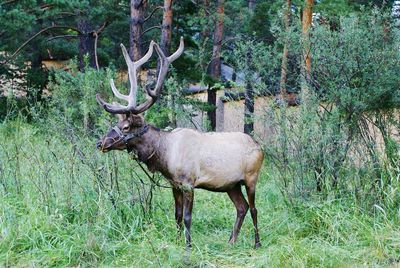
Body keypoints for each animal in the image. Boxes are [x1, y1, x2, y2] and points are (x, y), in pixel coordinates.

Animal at [96, 37, 264, 249]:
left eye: (125, 127)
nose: (100, 143)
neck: (164, 157)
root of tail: (260, 148)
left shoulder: (188, 183)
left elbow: (187, 217)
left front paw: (188, 245)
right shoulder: (174, 184)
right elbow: (176, 215)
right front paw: (176, 241)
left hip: (251, 177)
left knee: (254, 209)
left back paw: (257, 243)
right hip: (231, 184)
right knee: (242, 207)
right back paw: (231, 241)